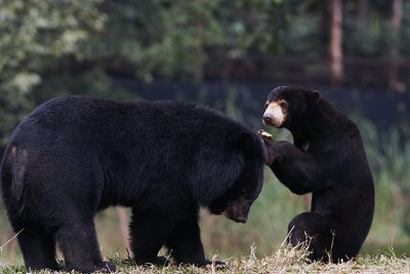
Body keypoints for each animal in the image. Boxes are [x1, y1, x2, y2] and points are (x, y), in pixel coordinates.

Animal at [0, 96, 266, 272]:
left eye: (251, 197)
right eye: (245, 193)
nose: (241, 218)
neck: (199, 159)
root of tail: (19, 151)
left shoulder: (183, 186)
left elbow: (184, 224)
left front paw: (208, 261)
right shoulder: (169, 171)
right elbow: (156, 215)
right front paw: (151, 258)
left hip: (17, 192)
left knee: (29, 230)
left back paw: (44, 265)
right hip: (63, 174)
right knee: (74, 222)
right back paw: (97, 264)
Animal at [260, 85, 374, 262]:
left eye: (283, 103)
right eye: (267, 104)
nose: (268, 118)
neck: (310, 127)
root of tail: (354, 251)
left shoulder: (334, 143)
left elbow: (310, 174)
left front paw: (268, 143)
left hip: (336, 230)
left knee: (302, 223)